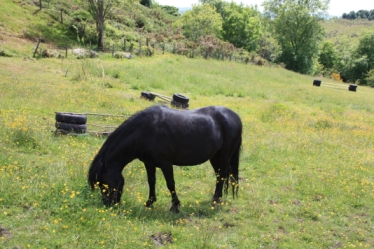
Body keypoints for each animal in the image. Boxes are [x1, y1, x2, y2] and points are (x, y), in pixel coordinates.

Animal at [87, 104, 243, 212]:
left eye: (104, 184)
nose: (109, 205)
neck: (145, 131)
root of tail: (235, 116)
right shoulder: (149, 163)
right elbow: (151, 182)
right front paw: (149, 202)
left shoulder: (166, 163)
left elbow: (170, 184)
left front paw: (175, 206)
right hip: (214, 157)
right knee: (218, 176)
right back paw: (216, 198)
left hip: (225, 155)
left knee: (222, 176)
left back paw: (216, 201)